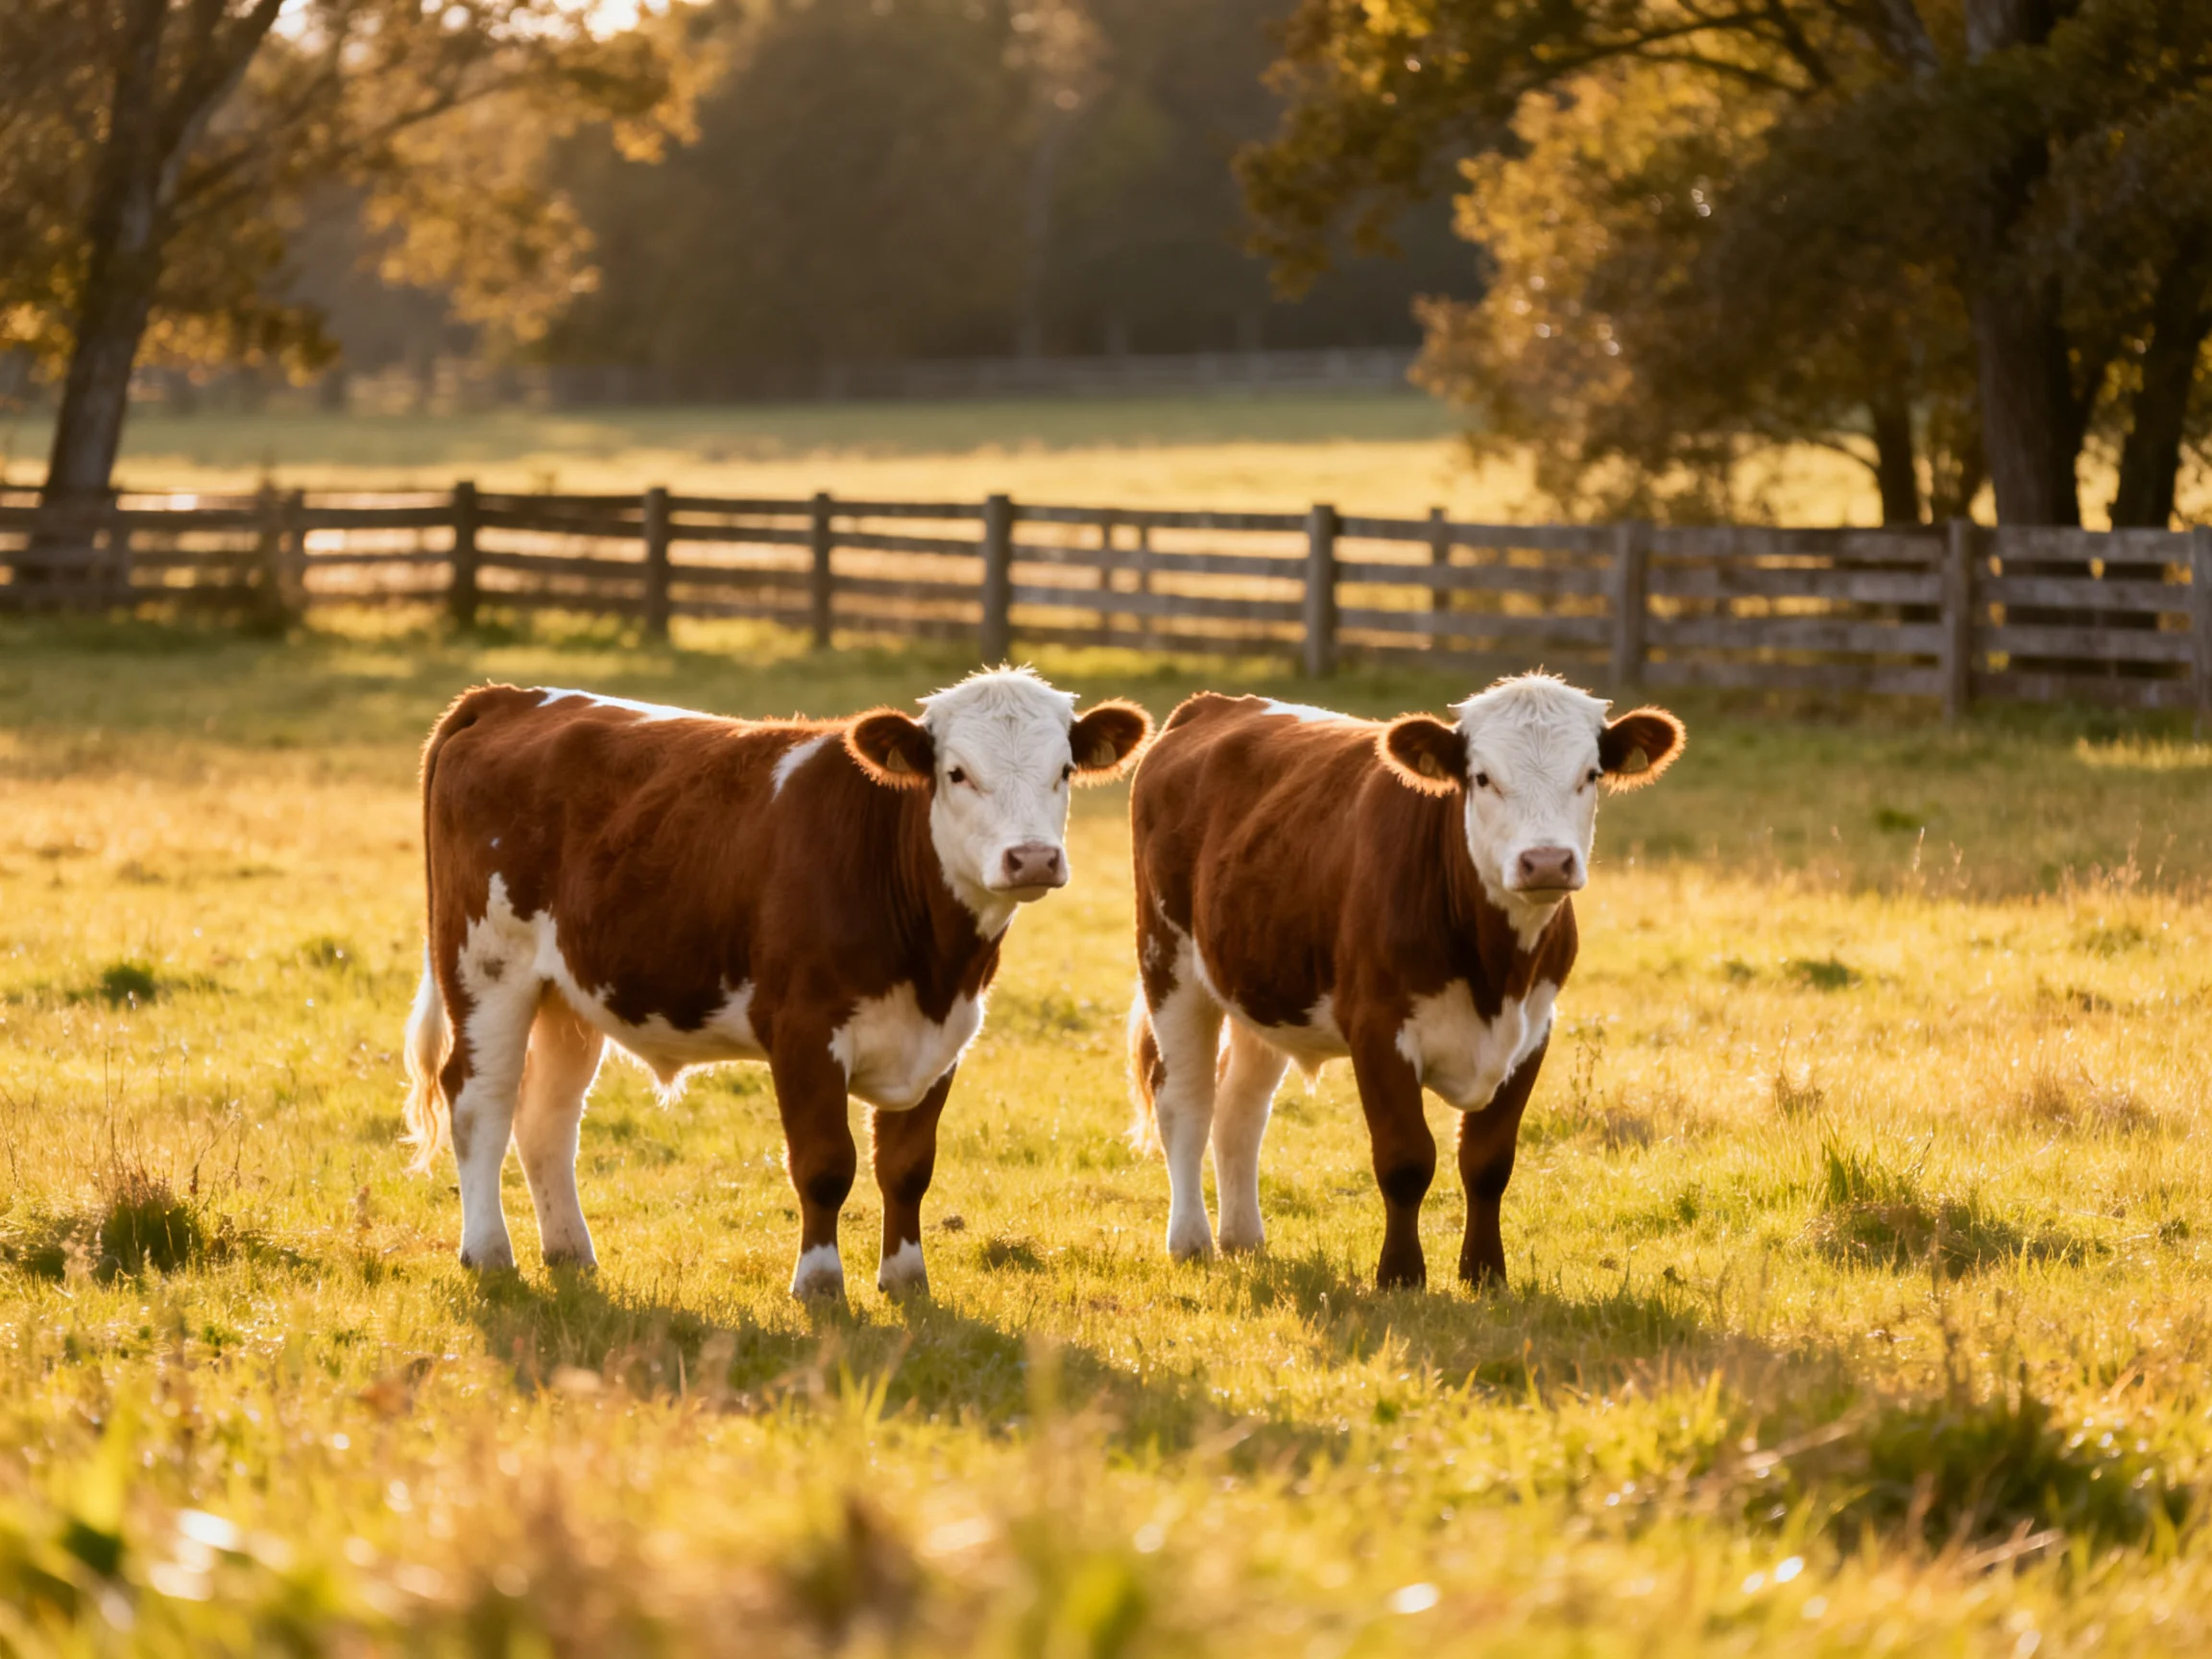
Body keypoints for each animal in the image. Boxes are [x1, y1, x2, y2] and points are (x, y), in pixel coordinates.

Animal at [400, 668, 1151, 1299]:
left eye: (1063, 770)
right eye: (957, 773)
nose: (1033, 857)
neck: (933, 964)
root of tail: (509, 696)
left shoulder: (945, 1041)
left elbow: (908, 1166)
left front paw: (906, 1281)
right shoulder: (803, 1033)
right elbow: (825, 1165)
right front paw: (819, 1284)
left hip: (568, 995)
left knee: (547, 1118)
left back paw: (570, 1253)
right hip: (486, 968)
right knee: (479, 1102)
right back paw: (489, 1254)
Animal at [1126, 674, 1683, 1291]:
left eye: (1590, 774)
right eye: (1482, 777)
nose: (1545, 861)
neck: (1496, 973)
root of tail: (1211, 705)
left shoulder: (1534, 1030)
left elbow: (1488, 1161)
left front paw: (1484, 1273)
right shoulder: (1377, 1028)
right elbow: (1405, 1159)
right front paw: (1400, 1276)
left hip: (1261, 982)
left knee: (1240, 1108)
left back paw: (1243, 1239)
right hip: (1169, 959)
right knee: (1186, 1098)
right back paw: (1191, 1241)